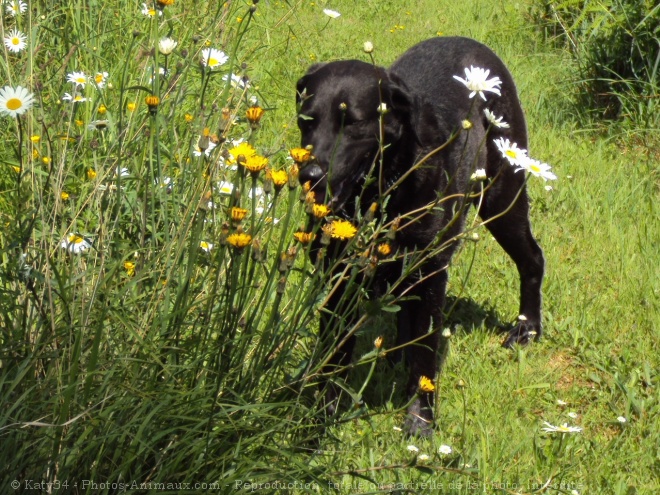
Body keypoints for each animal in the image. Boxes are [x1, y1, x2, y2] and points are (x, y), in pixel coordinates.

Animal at [296, 36, 544, 436]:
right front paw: (320, 421)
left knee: (532, 258)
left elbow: (426, 355)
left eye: (354, 123)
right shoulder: (337, 276)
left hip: (502, 195)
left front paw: (420, 420)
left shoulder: (431, 273)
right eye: (307, 120)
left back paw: (527, 329)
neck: (384, 189)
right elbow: (334, 355)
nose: (311, 175)